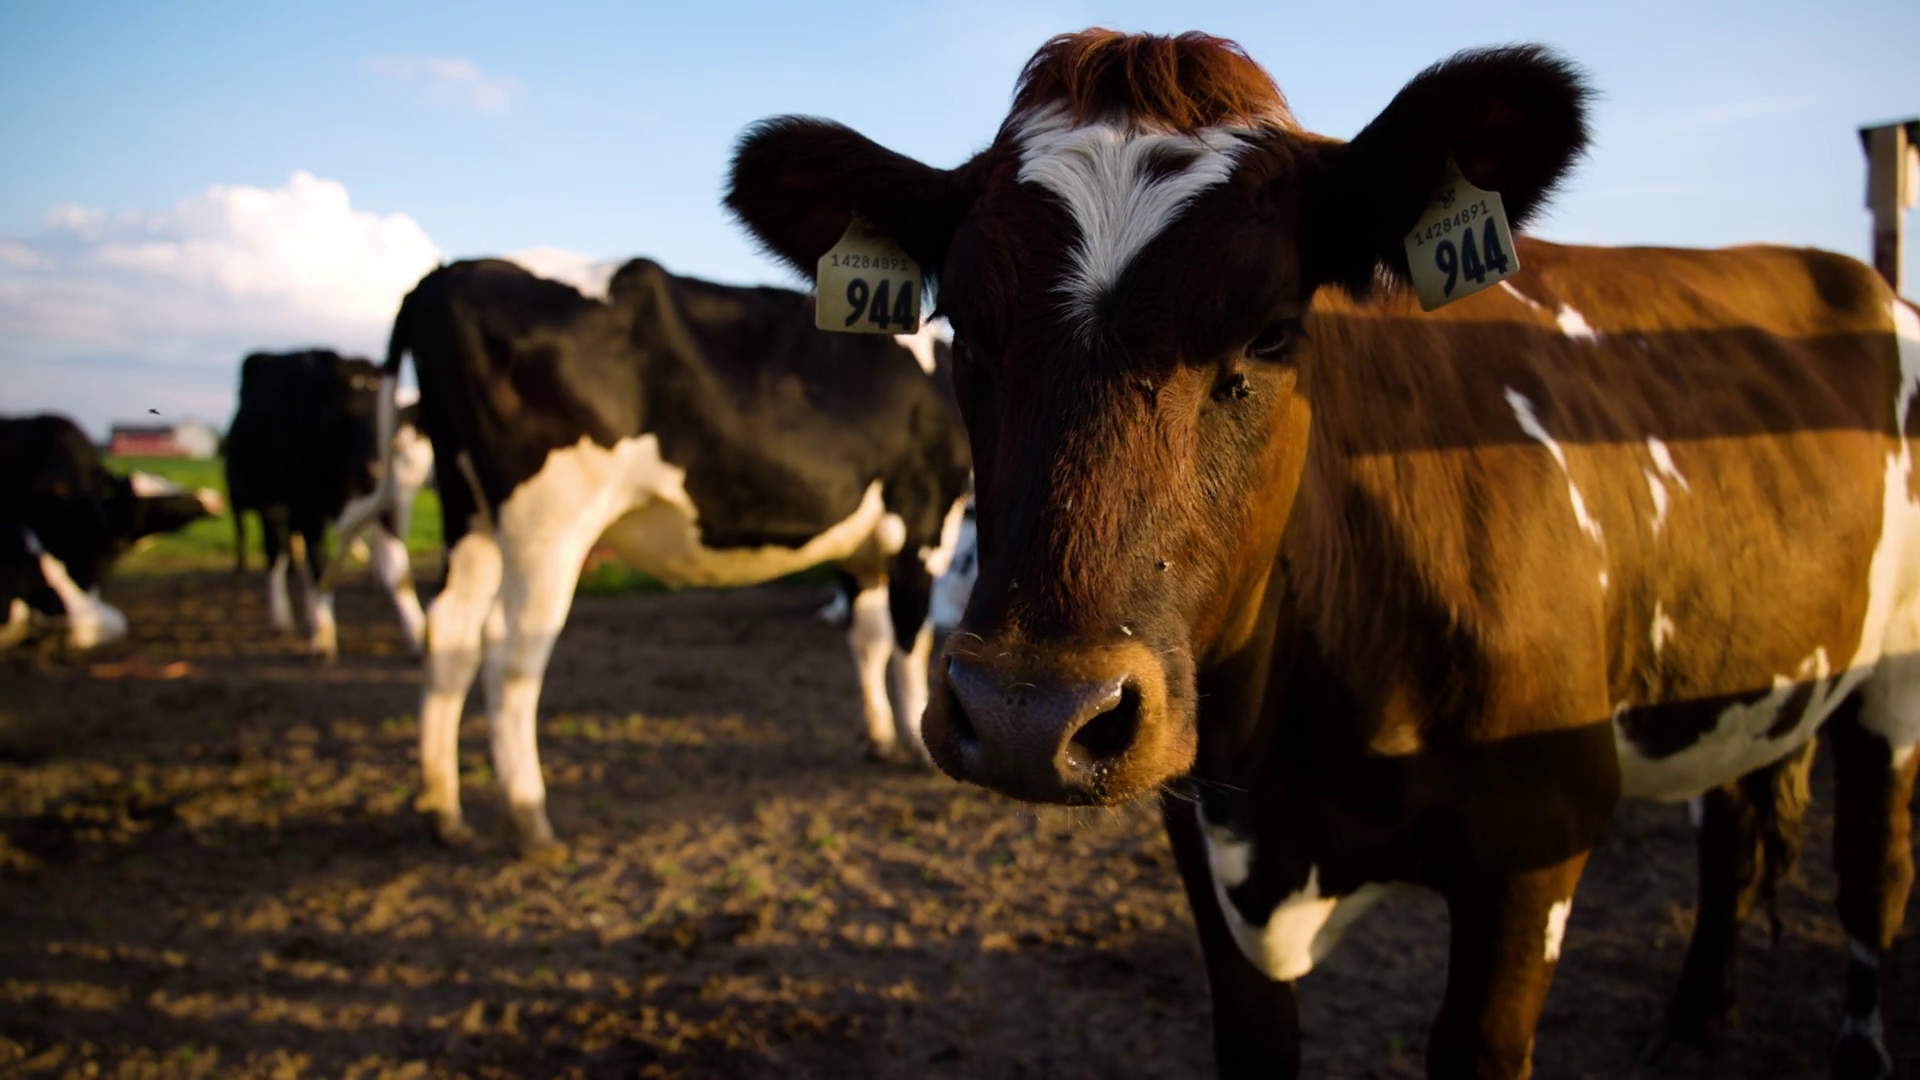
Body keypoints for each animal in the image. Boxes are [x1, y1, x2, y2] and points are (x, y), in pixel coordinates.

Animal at [224, 349, 433, 658]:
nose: (374, 470)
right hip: (269, 504)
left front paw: (419, 636)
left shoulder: (387, 505)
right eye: (345, 418)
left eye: (392, 421)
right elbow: (319, 568)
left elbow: (399, 575)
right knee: (276, 554)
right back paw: (281, 617)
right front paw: (323, 637)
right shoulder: (306, 509)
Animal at [356, 256, 972, 857]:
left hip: (468, 512)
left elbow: (867, 641)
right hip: (548, 525)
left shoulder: (859, 550)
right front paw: (919, 746)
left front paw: (880, 738)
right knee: (508, 651)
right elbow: (910, 645)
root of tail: (453, 272)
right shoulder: (922, 526)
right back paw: (528, 816)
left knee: (450, 634)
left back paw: (443, 810)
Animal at [725, 29, 1918, 1079]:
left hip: (1891, 679)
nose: (1027, 717)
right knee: (1735, 828)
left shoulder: (1537, 841)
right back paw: (1694, 1022)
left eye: (1272, 329)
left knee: (1872, 877)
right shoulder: (1211, 854)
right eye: (964, 329)